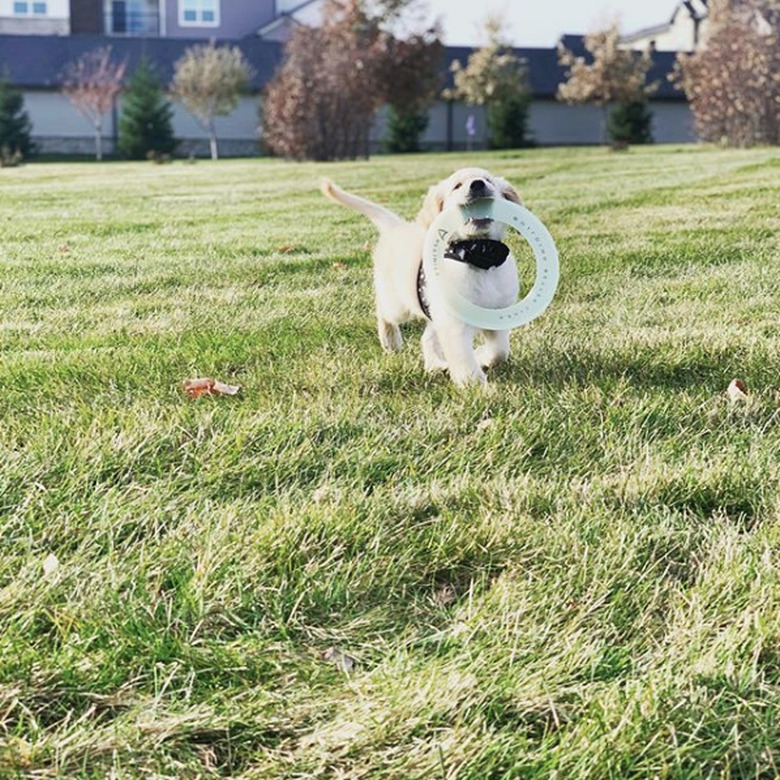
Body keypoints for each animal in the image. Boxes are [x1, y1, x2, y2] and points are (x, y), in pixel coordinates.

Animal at [320, 171, 520, 390]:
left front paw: (482, 356)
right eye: (457, 186)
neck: (479, 254)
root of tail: (397, 227)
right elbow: (464, 360)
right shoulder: (454, 326)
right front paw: (477, 388)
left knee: (427, 337)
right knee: (384, 311)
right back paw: (390, 340)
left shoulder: (496, 316)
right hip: (399, 305)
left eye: (488, 180)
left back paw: (435, 365)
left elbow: (500, 351)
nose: (477, 184)